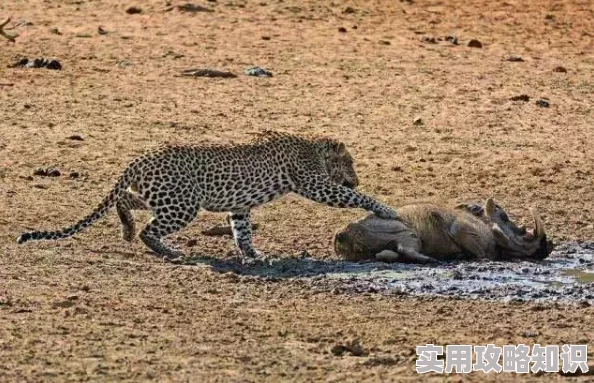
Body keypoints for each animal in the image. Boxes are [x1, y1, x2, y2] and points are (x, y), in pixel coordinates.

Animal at [17, 130, 398, 262]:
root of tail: (138, 159)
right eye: (350, 162)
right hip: (181, 206)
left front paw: (254, 255)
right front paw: (387, 209)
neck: (313, 147)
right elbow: (355, 197)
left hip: (168, 197)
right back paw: (170, 252)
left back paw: (126, 229)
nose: (356, 177)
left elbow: (242, 232)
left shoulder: (241, 206)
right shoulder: (315, 184)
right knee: (149, 230)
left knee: (125, 201)